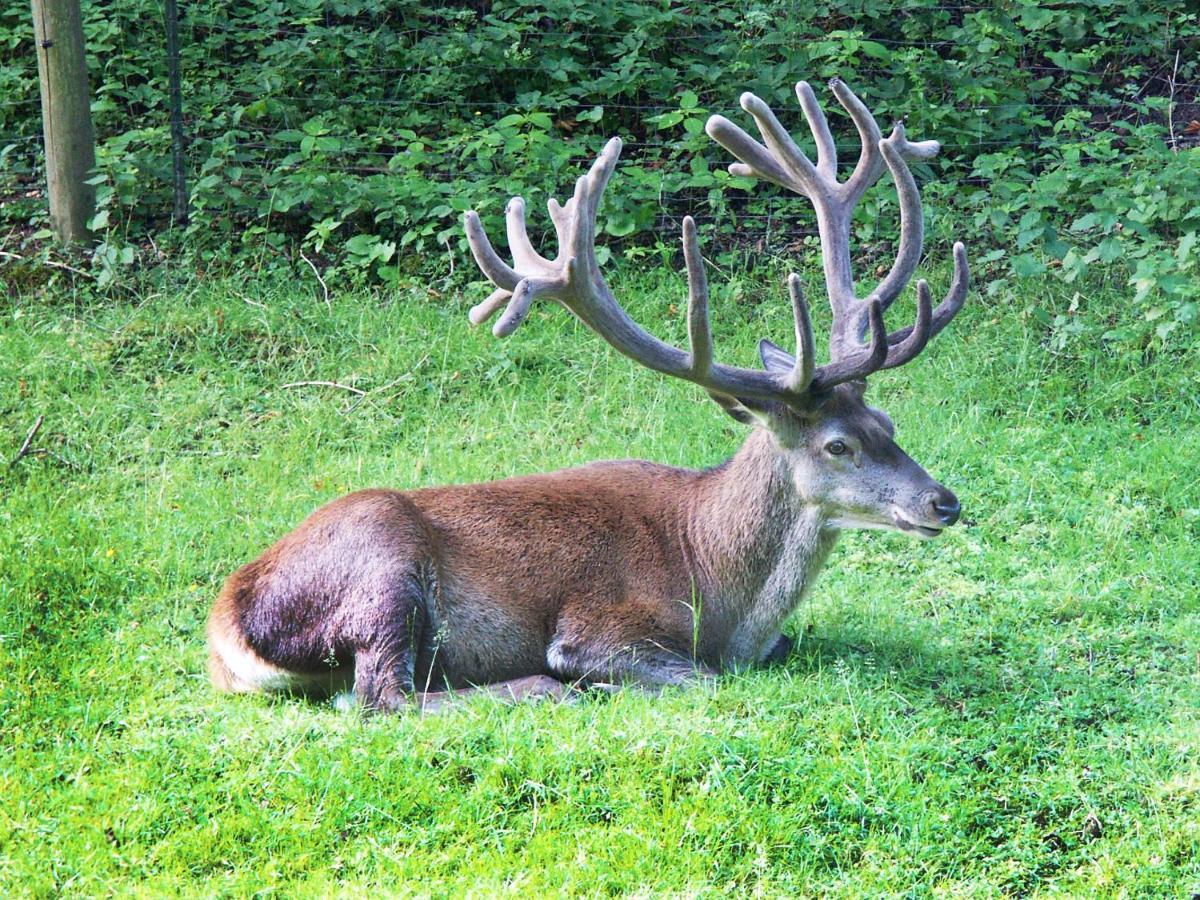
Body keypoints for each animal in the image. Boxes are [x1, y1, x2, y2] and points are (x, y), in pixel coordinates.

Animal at [208, 81, 964, 710]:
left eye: (886, 420)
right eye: (837, 445)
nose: (944, 502)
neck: (720, 589)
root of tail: (225, 629)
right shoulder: (599, 625)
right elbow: (695, 675)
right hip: (383, 569)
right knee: (380, 696)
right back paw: (538, 690)